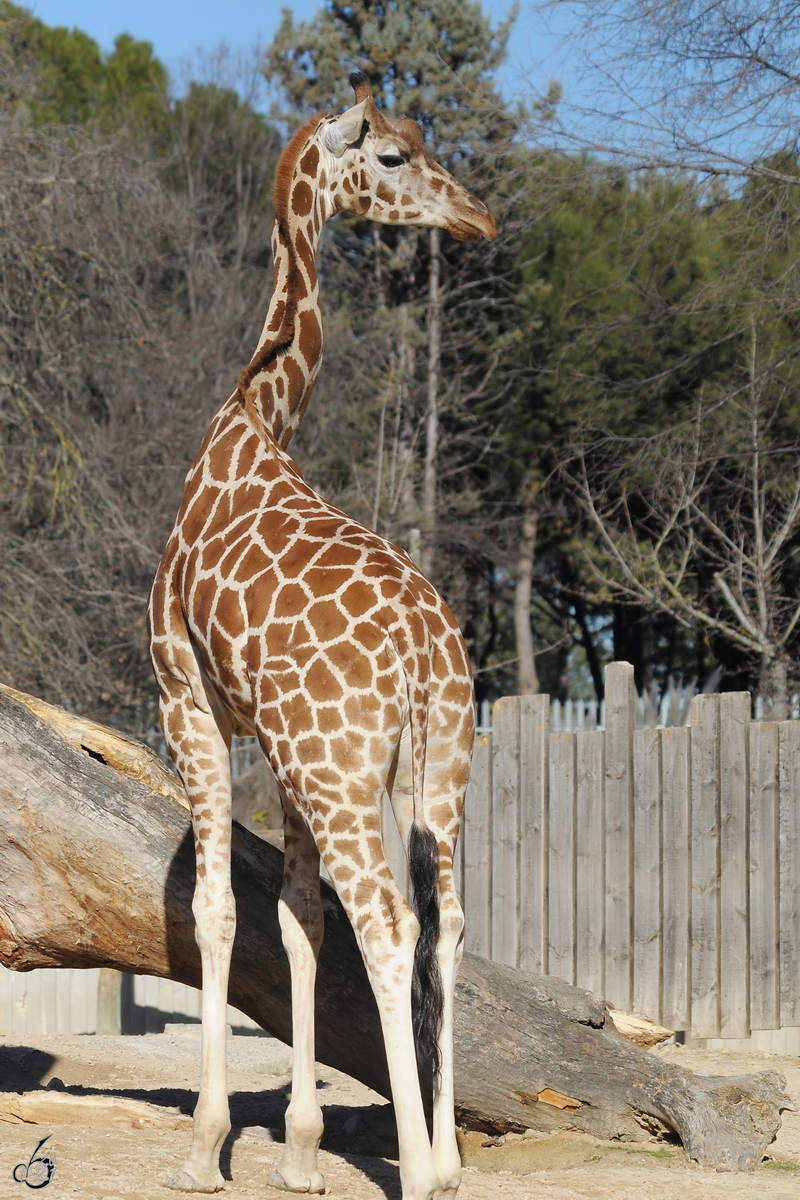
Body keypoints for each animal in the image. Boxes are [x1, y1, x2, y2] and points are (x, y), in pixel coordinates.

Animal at [146, 75, 494, 1200]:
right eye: (394, 153)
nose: (475, 217)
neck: (252, 419)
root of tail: (424, 652)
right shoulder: (274, 745)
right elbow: (296, 921)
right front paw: (298, 1147)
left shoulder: (187, 696)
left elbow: (218, 910)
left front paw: (204, 1142)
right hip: (437, 769)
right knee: (442, 926)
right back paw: (448, 1161)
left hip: (342, 771)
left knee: (383, 923)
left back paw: (421, 1169)